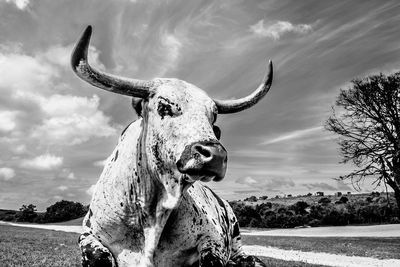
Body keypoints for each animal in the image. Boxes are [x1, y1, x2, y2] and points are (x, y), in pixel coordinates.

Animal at [71, 25, 272, 267]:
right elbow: (98, 255)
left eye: (213, 117)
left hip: (236, 239)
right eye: (164, 107)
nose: (215, 155)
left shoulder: (213, 238)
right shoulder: (88, 233)